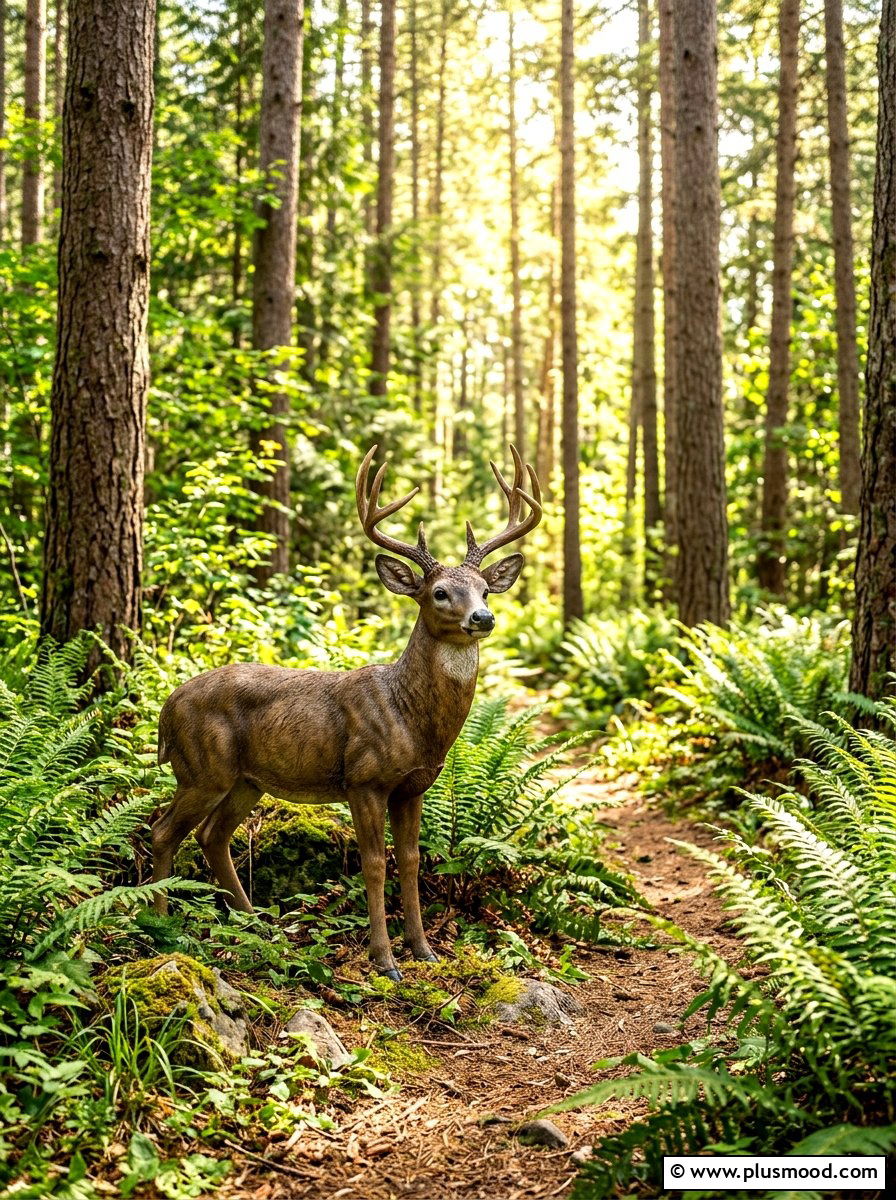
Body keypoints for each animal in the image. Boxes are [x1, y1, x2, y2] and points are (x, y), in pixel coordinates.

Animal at [151, 445, 542, 980]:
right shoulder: (364, 778)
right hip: (201, 768)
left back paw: (256, 925)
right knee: (163, 831)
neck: (409, 717)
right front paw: (385, 960)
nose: (482, 617)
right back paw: (158, 924)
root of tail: (166, 709)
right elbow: (374, 863)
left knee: (212, 836)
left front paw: (423, 949)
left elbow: (411, 859)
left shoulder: (413, 786)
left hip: (245, 780)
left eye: (484, 588)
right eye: (439, 592)